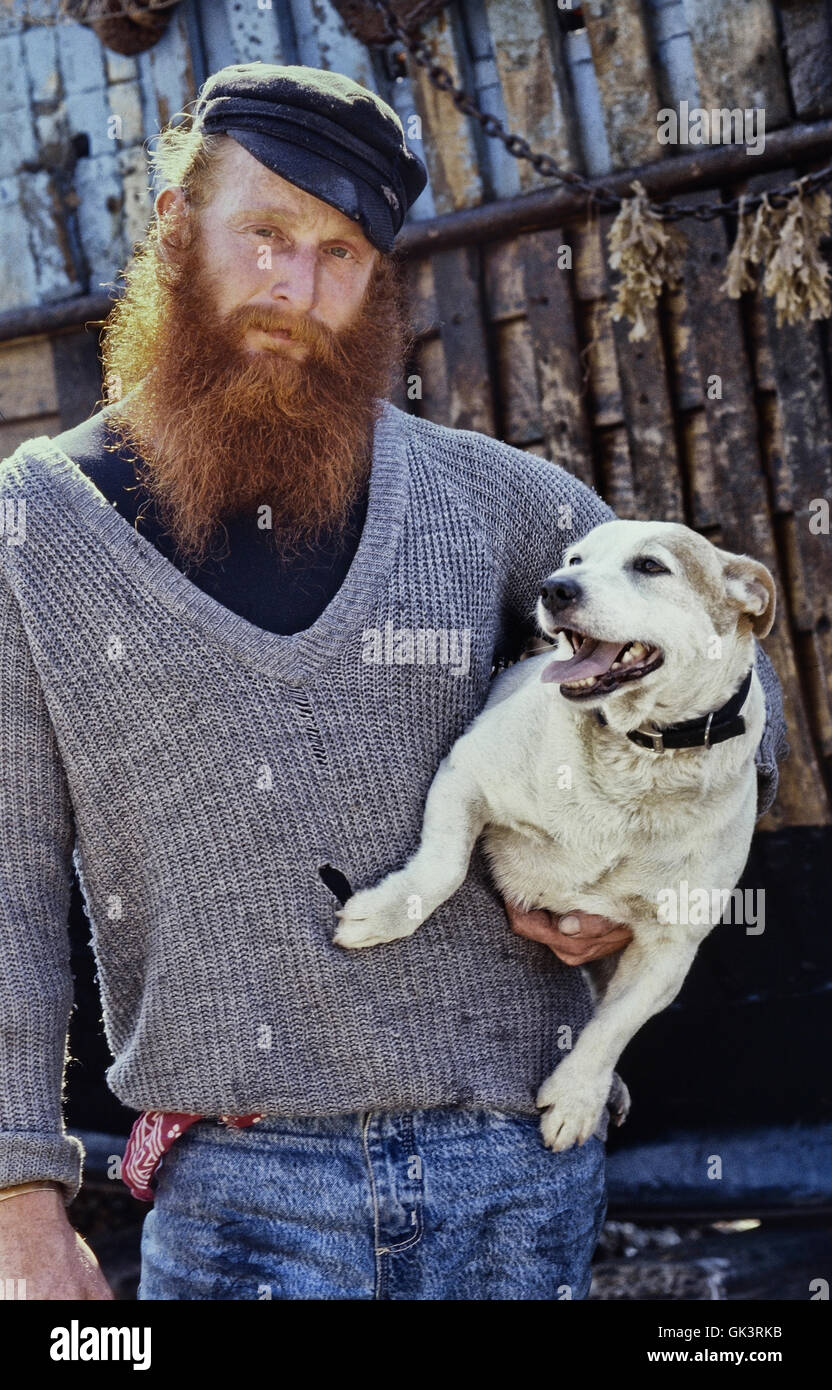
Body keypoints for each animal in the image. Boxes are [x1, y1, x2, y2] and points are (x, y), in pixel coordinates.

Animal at [334, 522, 777, 1150]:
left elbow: (612, 1030)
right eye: (574, 558)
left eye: (650, 566)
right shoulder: (467, 774)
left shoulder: (669, 948)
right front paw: (387, 912)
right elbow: (442, 866)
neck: (640, 758)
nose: (555, 588)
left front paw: (577, 1097)